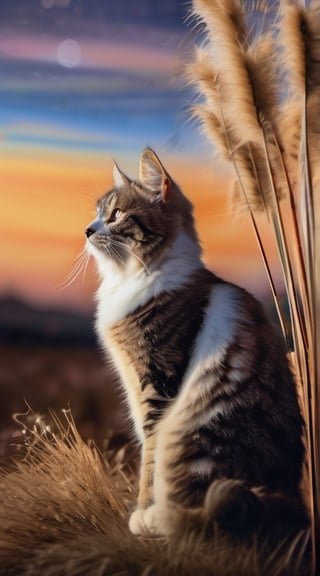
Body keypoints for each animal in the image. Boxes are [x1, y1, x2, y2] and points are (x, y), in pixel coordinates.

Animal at [85, 147, 304, 536]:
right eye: (98, 213)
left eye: (116, 215)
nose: (87, 230)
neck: (135, 277)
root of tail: (289, 498)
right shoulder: (138, 389)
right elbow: (145, 450)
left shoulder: (157, 382)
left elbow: (149, 460)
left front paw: (143, 511)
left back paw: (162, 517)